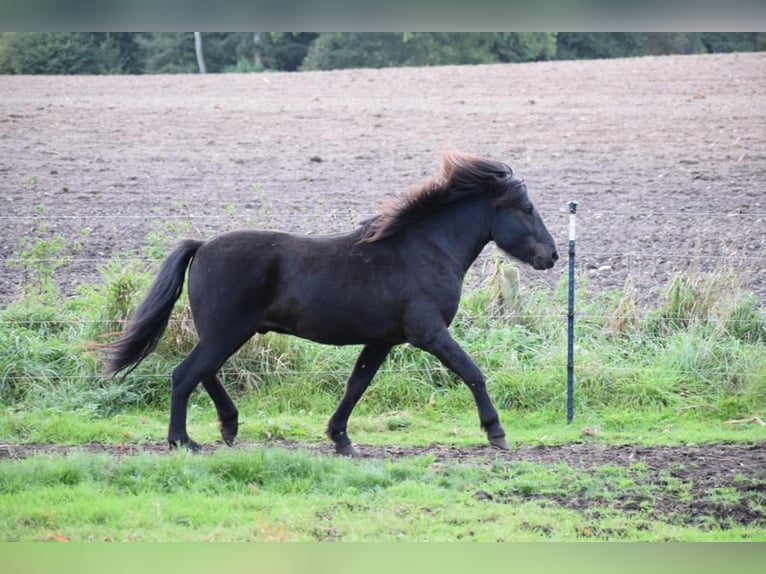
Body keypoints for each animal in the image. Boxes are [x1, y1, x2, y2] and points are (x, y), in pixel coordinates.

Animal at [103, 152, 560, 454]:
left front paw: (341, 439)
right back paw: (183, 441)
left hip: (226, 333)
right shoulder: (428, 332)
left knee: (205, 372)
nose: (552, 256)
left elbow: (356, 384)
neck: (425, 249)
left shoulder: (383, 340)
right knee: (185, 375)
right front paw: (496, 432)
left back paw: (229, 427)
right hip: (226, 333)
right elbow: (472, 372)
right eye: (526, 208)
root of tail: (201, 246)